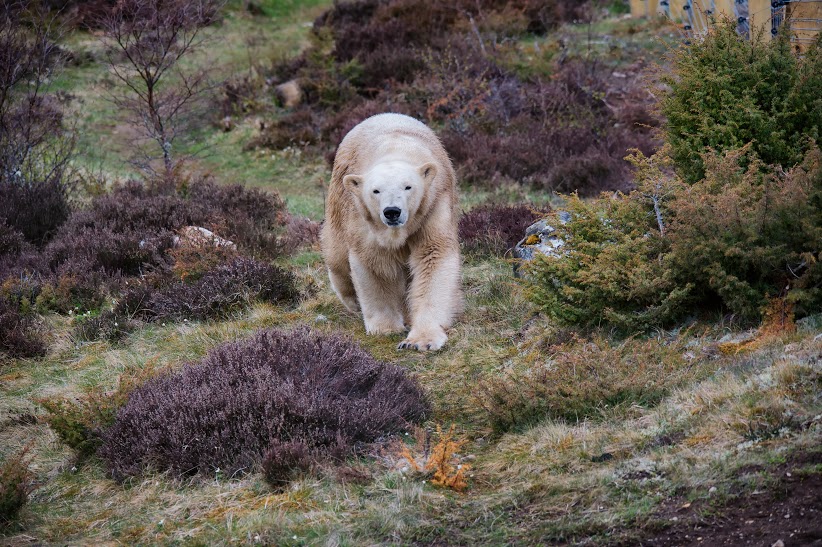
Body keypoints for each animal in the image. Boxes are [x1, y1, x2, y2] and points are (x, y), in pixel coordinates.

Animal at [322, 112, 464, 352]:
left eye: (408, 186)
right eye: (376, 190)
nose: (392, 212)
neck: (396, 148)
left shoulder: (432, 205)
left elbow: (433, 256)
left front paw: (420, 340)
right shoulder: (364, 218)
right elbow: (373, 262)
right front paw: (385, 327)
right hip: (338, 200)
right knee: (337, 254)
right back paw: (352, 301)